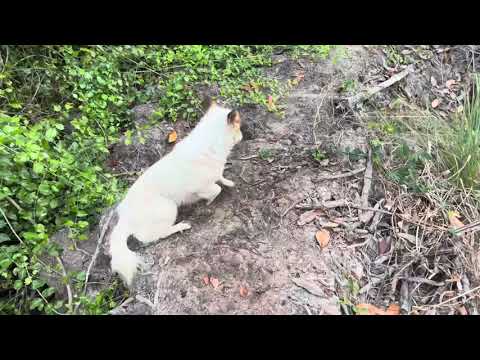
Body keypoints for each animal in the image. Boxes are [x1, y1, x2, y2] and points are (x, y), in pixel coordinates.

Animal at [110, 101, 242, 286]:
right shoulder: (200, 187)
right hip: (168, 208)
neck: (210, 143)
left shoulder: (216, 173)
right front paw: (209, 201)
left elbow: (221, 178)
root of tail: (125, 218)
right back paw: (180, 226)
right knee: (150, 236)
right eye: (239, 126)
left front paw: (228, 182)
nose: (243, 135)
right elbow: (216, 189)